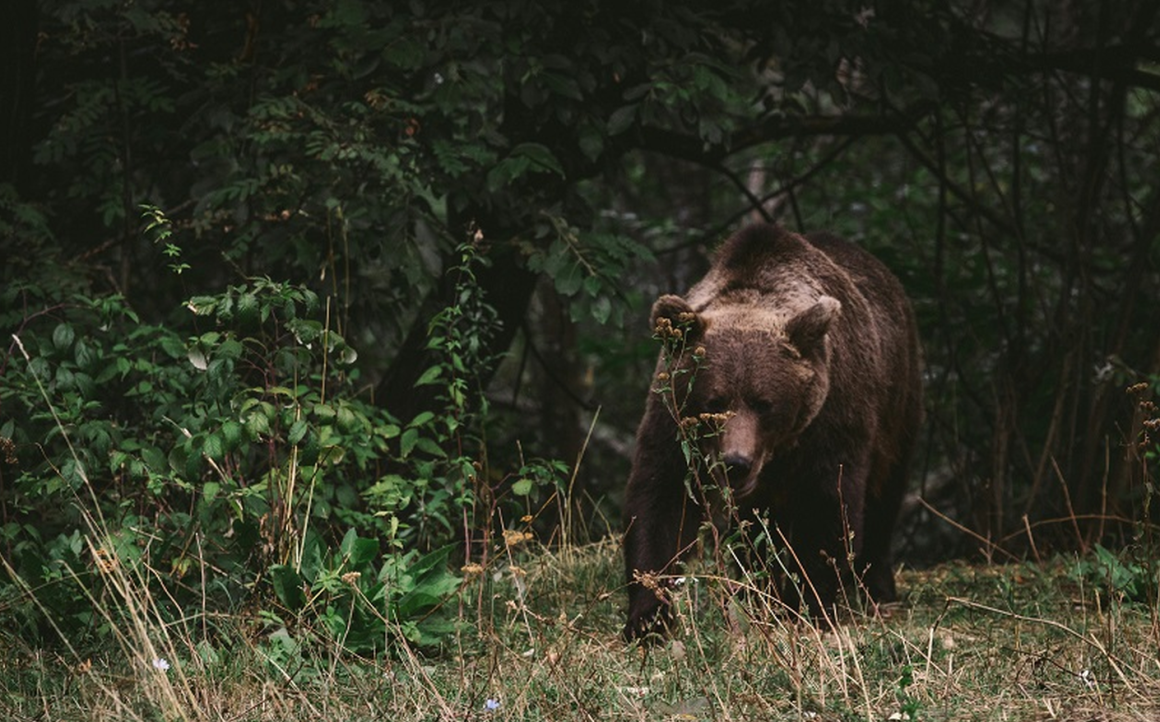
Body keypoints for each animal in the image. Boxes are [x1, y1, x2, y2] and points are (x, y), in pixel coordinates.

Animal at [626, 224, 923, 640]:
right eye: (714, 401)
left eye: (764, 403)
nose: (736, 463)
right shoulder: (673, 420)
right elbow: (661, 499)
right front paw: (649, 616)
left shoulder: (831, 420)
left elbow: (827, 506)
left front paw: (808, 604)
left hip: (898, 399)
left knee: (885, 493)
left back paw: (877, 586)